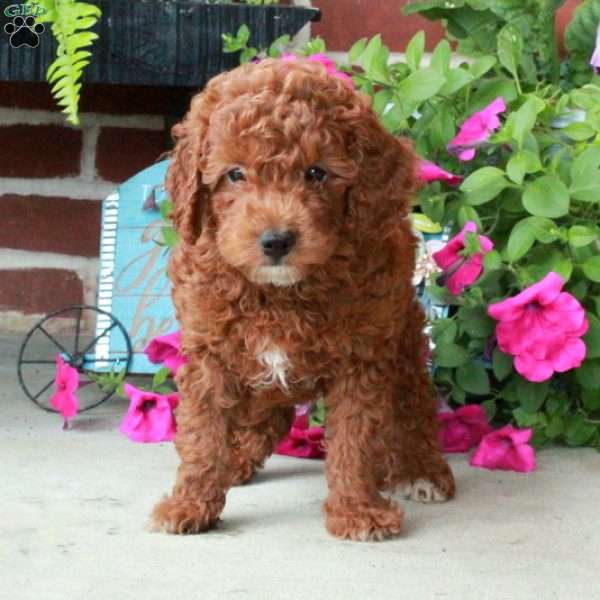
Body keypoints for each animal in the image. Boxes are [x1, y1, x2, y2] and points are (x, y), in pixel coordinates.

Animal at [151, 58, 454, 540]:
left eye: (316, 173)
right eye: (235, 174)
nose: (276, 240)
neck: (279, 293)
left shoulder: (362, 358)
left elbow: (354, 441)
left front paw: (356, 511)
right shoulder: (209, 351)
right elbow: (203, 434)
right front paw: (190, 502)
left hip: (404, 340)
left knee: (414, 406)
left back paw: (420, 470)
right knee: (267, 416)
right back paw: (237, 460)